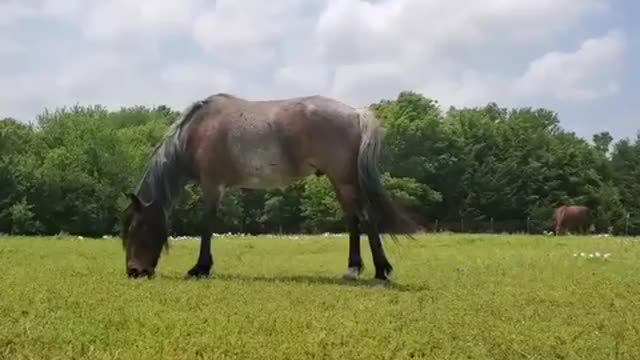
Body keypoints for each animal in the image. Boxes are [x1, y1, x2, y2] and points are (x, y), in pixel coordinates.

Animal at [120, 92, 420, 282]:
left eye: (136, 228)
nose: (134, 271)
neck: (196, 132)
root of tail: (356, 113)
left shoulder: (212, 186)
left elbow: (207, 225)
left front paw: (200, 268)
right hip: (341, 181)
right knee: (354, 220)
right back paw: (354, 270)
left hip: (344, 180)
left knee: (366, 218)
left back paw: (380, 271)